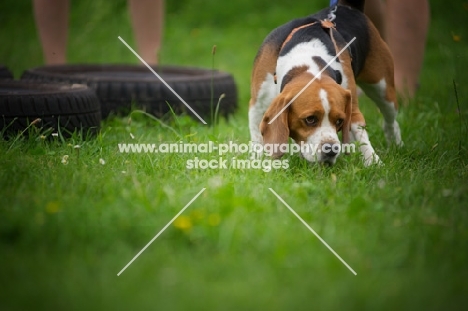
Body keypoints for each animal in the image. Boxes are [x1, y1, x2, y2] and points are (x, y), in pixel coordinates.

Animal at [249, 0, 402, 166]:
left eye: (339, 121)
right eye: (310, 119)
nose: (331, 150)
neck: (306, 59)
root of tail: (345, 6)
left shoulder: (352, 108)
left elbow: (361, 135)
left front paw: (373, 162)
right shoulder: (257, 106)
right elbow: (257, 136)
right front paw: (258, 160)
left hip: (383, 90)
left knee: (390, 121)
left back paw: (395, 143)